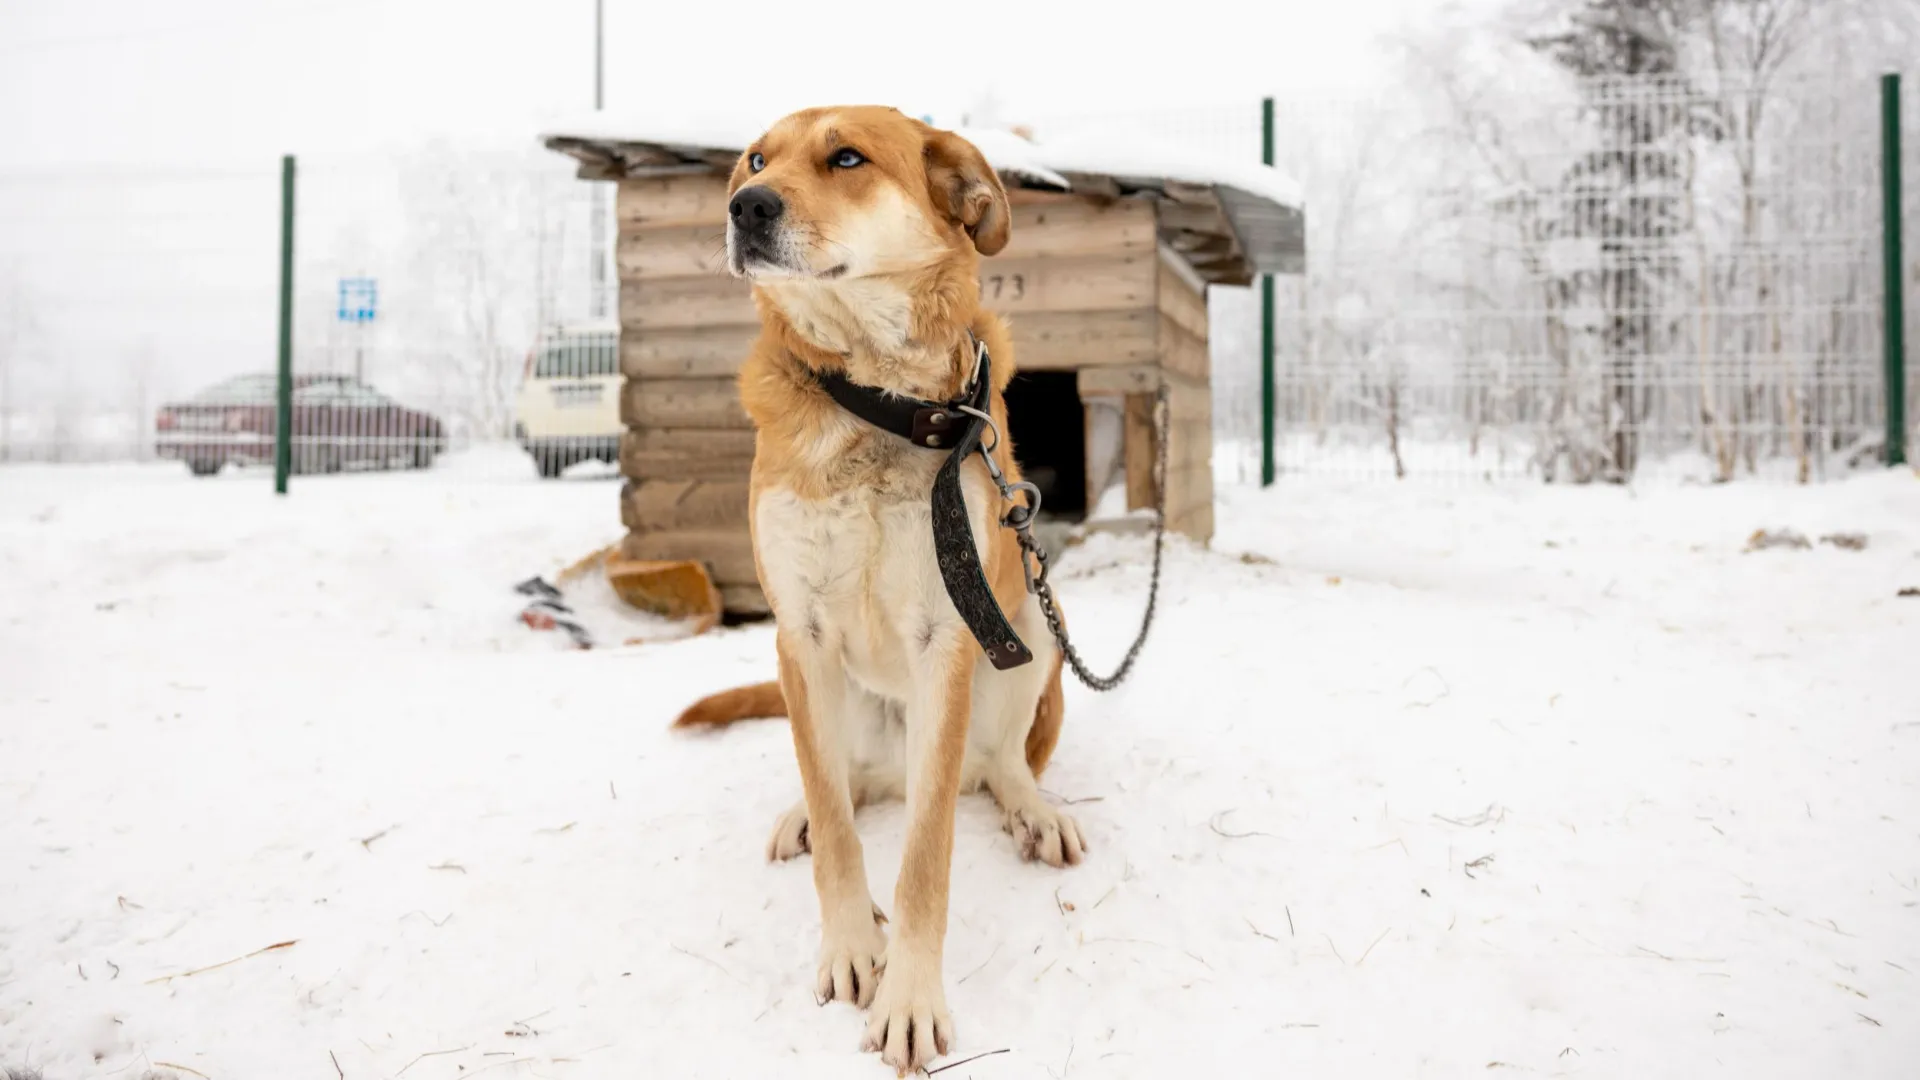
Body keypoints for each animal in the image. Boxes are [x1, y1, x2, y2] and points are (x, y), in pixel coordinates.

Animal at [679, 107, 1090, 1068]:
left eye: (846, 157)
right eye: (755, 160)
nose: (745, 207)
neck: (876, 403)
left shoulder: (949, 638)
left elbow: (924, 857)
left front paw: (907, 995)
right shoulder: (799, 634)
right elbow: (838, 826)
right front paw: (851, 948)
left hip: (1032, 626)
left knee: (998, 767)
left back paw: (1033, 810)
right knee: (847, 779)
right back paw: (803, 811)